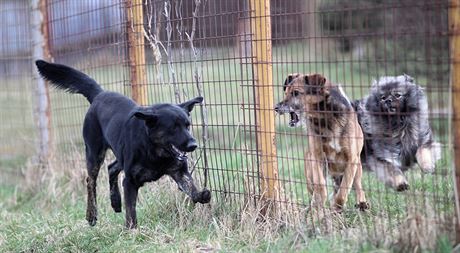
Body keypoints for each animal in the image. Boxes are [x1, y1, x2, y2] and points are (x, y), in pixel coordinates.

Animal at [35, 60, 211, 228]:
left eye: (187, 125)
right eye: (173, 128)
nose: (193, 145)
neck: (154, 150)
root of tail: (100, 94)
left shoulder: (179, 171)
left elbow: (192, 188)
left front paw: (202, 195)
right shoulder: (130, 181)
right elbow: (131, 209)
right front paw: (131, 229)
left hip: (120, 154)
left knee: (111, 167)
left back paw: (115, 201)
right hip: (94, 153)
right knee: (90, 182)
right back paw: (92, 215)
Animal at [274, 73, 368, 211]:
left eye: (296, 93)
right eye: (285, 92)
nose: (276, 108)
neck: (324, 118)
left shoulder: (352, 159)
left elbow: (343, 191)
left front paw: (337, 207)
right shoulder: (317, 157)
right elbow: (320, 185)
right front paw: (319, 204)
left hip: (358, 168)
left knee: (358, 186)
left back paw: (362, 203)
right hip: (309, 171)